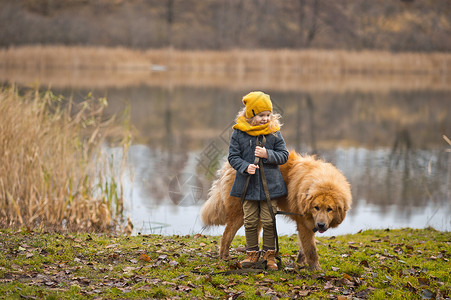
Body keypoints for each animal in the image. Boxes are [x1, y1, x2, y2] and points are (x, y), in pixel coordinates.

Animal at [201, 150, 354, 270]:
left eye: (329, 209)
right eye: (316, 208)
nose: (321, 225)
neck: (323, 182)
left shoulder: (310, 224)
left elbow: (304, 247)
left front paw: (300, 262)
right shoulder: (304, 223)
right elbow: (311, 249)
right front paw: (315, 269)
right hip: (240, 213)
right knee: (226, 235)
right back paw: (224, 256)